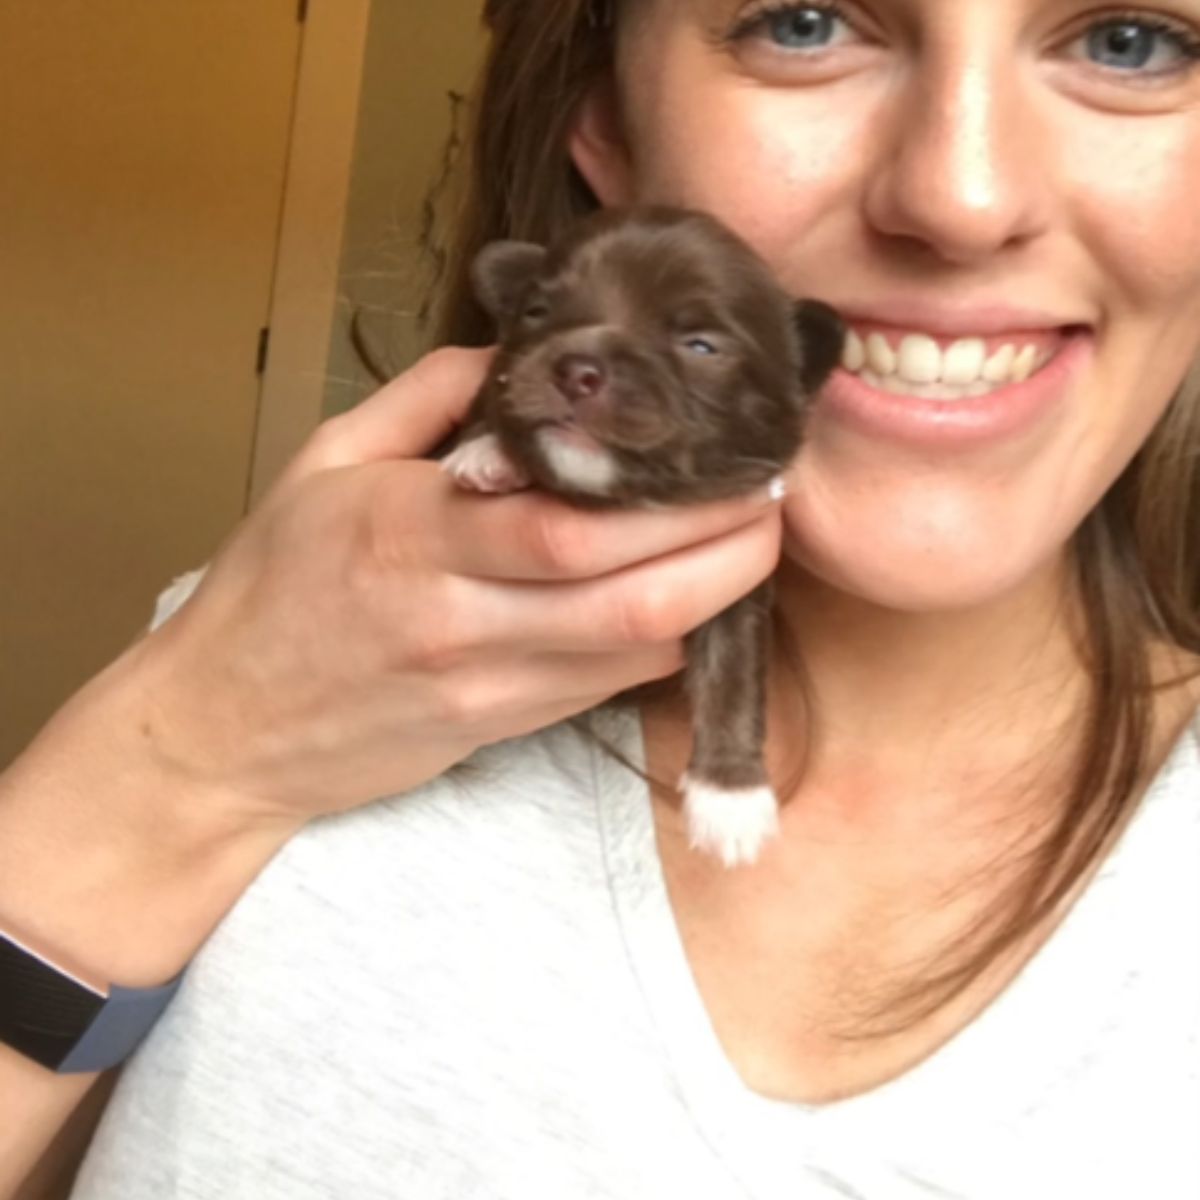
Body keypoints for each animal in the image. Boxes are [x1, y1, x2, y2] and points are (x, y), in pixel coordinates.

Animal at [441, 204, 844, 864]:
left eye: (701, 345)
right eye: (537, 312)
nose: (576, 369)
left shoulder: (737, 585)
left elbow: (733, 675)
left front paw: (730, 797)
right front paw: (487, 450)